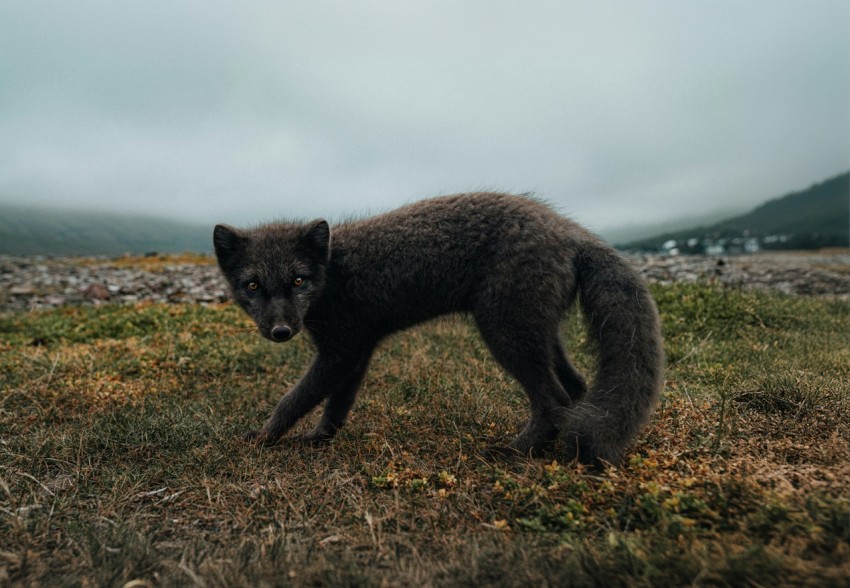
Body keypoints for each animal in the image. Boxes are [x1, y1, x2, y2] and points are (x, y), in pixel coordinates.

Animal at [213, 193, 664, 466]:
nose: (280, 331)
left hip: (505, 332)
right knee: (576, 387)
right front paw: (319, 438)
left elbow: (294, 399)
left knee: (553, 398)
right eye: (252, 286)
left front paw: (264, 437)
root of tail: (569, 230)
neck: (333, 273)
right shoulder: (356, 350)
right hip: (540, 332)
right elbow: (337, 406)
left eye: (298, 281)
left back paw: (515, 452)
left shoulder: (340, 352)